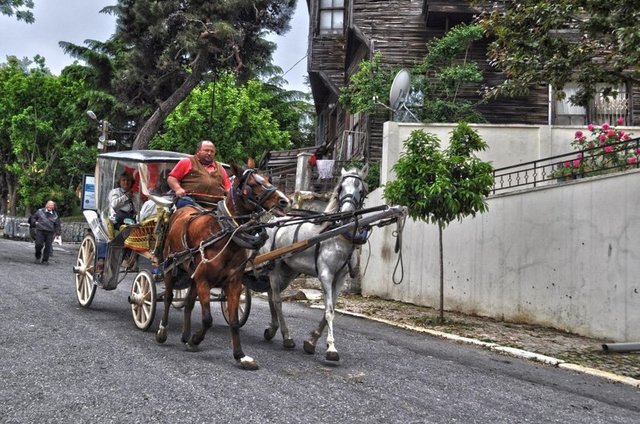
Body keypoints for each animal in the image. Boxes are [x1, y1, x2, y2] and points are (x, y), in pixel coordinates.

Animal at [157, 164, 290, 370]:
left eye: (268, 179)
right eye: (253, 184)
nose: (284, 201)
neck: (226, 233)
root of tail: (182, 208)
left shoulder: (233, 283)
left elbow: (234, 322)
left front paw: (240, 356)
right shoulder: (203, 280)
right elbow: (207, 319)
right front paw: (196, 340)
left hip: (193, 276)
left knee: (188, 303)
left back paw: (185, 334)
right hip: (171, 266)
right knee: (168, 297)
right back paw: (163, 330)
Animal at [262, 164, 370, 360]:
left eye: (361, 190)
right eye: (341, 188)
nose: (347, 214)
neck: (338, 234)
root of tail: (273, 220)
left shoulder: (340, 278)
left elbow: (330, 309)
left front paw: (312, 341)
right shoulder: (326, 274)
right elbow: (329, 311)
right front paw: (331, 348)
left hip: (288, 270)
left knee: (271, 295)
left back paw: (273, 329)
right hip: (274, 268)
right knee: (277, 300)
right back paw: (286, 336)